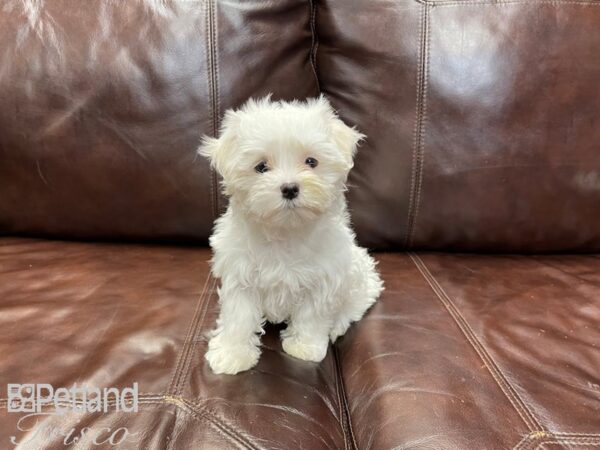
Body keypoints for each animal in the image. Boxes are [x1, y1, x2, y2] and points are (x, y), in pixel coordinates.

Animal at [199, 96, 382, 374]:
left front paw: (304, 348)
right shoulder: (240, 275)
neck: (285, 231)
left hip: (359, 279)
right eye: (261, 167)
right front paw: (232, 353)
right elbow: (239, 316)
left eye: (311, 162)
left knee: (352, 307)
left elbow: (312, 314)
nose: (289, 188)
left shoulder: (323, 278)